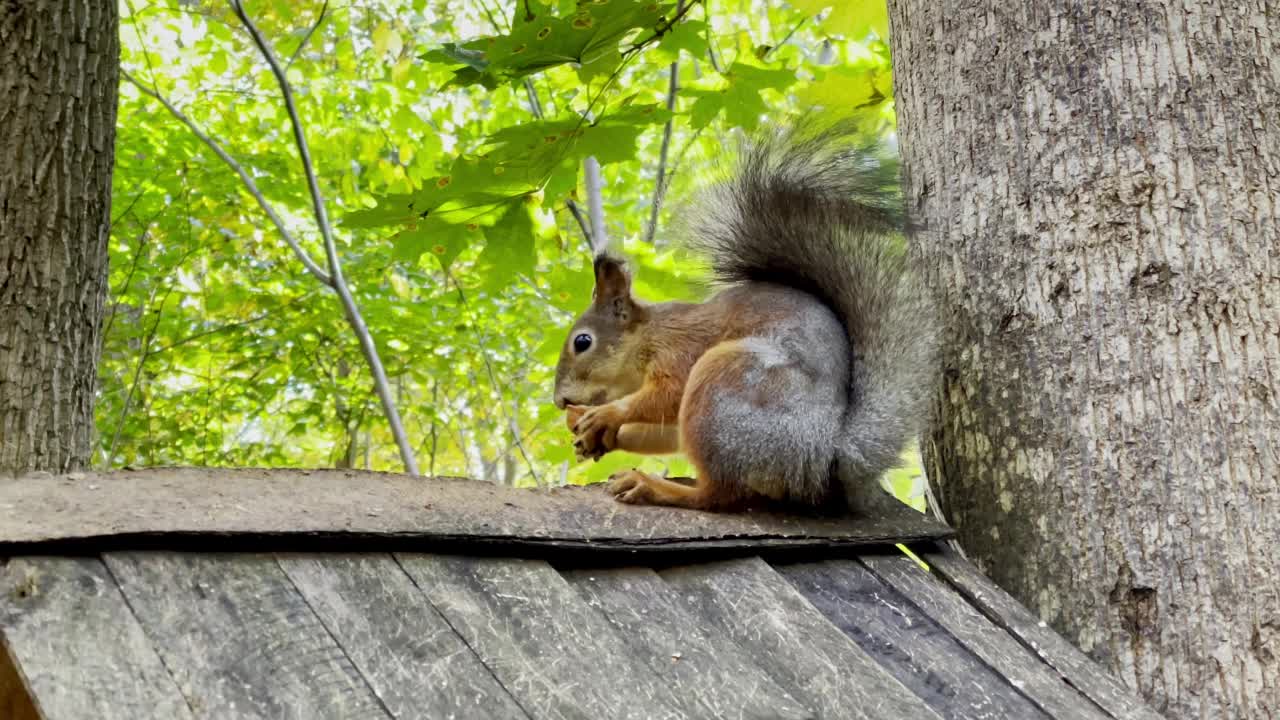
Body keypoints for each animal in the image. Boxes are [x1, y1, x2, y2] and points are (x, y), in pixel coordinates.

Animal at [550, 119, 942, 509]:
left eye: (582, 342)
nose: (559, 401)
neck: (648, 335)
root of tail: (823, 458)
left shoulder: (680, 351)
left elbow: (668, 394)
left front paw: (605, 415)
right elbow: (664, 432)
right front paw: (596, 432)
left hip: (725, 384)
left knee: (717, 494)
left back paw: (653, 486)